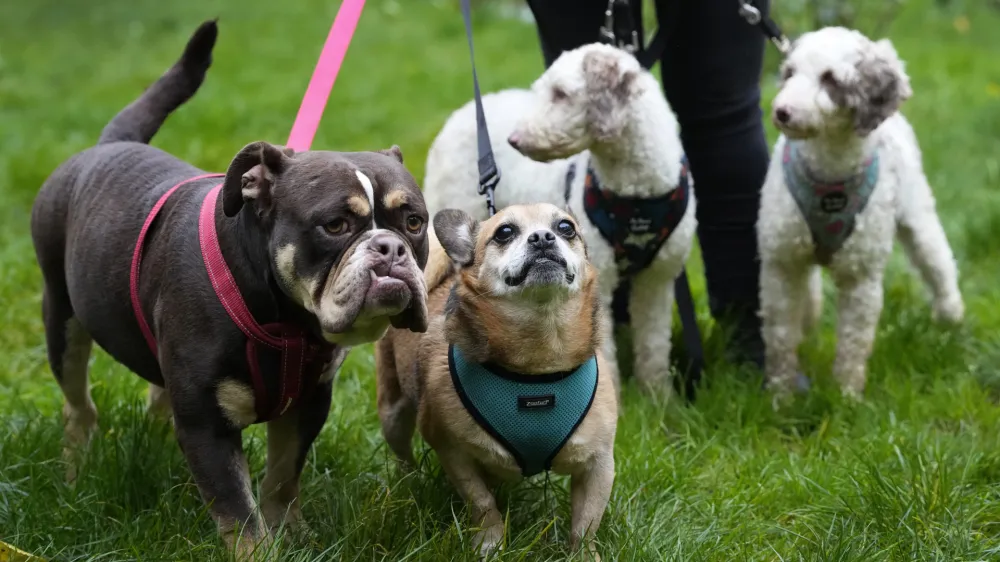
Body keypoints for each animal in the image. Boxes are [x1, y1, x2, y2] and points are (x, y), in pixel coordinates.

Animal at [376, 201, 616, 556]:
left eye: (565, 228)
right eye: (504, 232)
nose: (542, 237)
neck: (539, 360)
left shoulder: (598, 465)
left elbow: (585, 524)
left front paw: (584, 556)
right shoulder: (454, 453)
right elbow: (483, 504)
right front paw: (489, 543)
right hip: (393, 414)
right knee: (403, 453)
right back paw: (409, 482)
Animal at [422, 41, 696, 396]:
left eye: (561, 93)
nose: (515, 139)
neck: (635, 198)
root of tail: (466, 110)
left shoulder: (658, 278)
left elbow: (654, 344)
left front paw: (659, 397)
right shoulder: (598, 275)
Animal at [760, 25, 964, 394]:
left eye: (830, 78)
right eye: (790, 72)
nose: (782, 111)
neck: (830, 174)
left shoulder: (862, 276)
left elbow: (854, 343)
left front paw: (846, 395)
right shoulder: (781, 263)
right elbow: (780, 337)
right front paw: (781, 394)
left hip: (918, 216)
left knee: (939, 264)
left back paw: (950, 315)